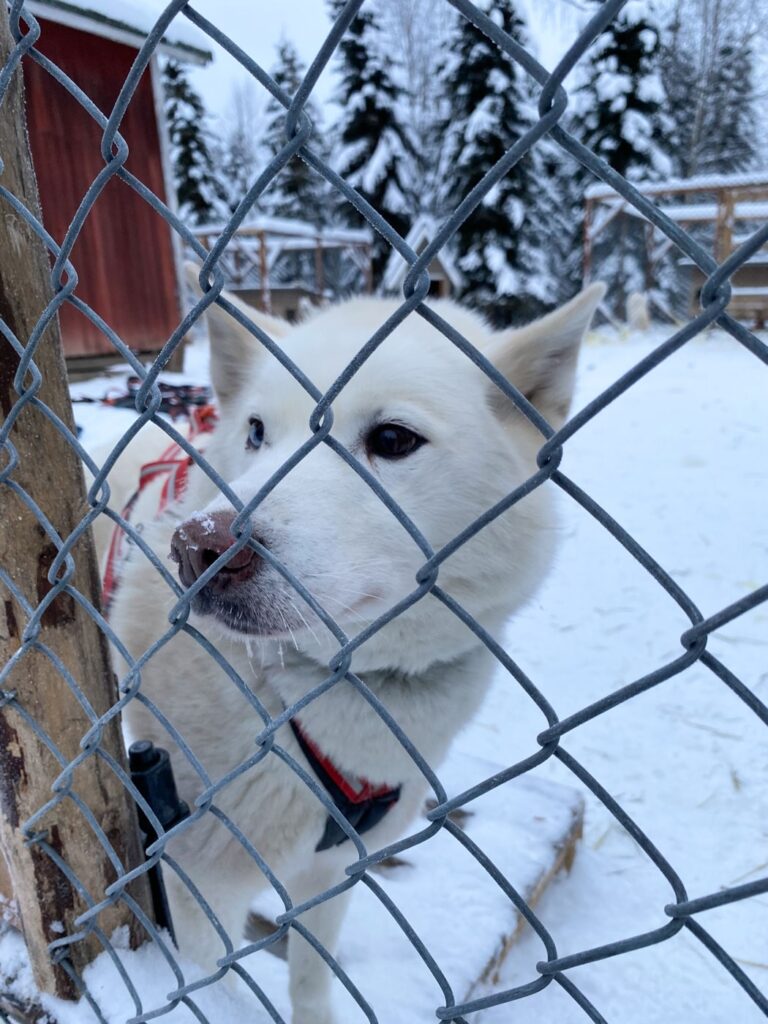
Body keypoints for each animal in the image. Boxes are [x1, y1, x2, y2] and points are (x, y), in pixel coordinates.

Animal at [103, 276, 606, 1019]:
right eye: (256, 431)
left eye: (393, 438)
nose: (198, 546)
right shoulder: (193, 890)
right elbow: (208, 987)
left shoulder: (334, 871)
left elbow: (312, 977)